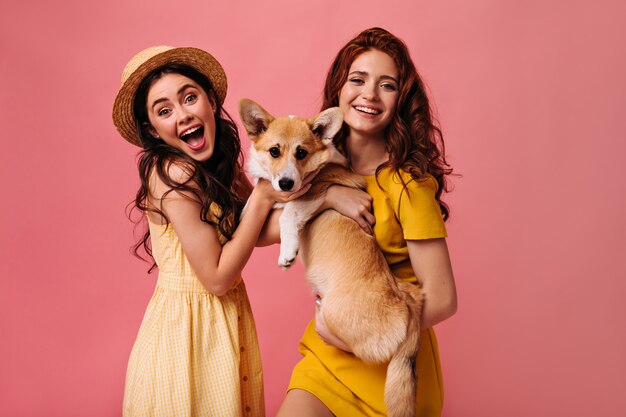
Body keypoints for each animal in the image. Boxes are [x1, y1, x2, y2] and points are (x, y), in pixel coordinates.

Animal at [239, 98, 424, 416]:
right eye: (274, 151)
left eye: (301, 152)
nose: (286, 183)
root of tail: (407, 303)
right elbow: (253, 204)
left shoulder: (315, 193)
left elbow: (289, 212)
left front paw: (287, 252)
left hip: (335, 314)